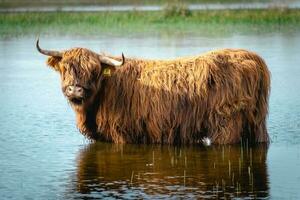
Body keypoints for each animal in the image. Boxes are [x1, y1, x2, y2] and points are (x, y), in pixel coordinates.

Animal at [36, 39, 270, 145]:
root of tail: (252, 57)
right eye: (65, 68)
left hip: (227, 123)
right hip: (256, 123)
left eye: (94, 70)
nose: (75, 88)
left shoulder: (122, 133)